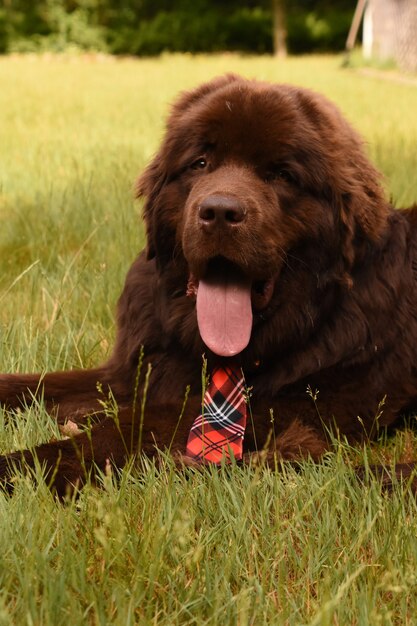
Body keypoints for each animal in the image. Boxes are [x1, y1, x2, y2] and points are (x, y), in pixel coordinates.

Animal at [0, 72, 416, 492]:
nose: (219, 211)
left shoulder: (307, 402)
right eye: (200, 163)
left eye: (282, 174)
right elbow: (34, 386)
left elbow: (130, 425)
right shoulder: (133, 371)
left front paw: (22, 466)